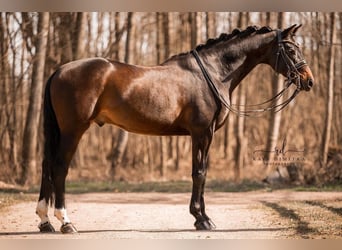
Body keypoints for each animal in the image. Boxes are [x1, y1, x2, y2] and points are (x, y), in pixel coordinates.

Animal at [36, 24, 312, 233]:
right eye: (290, 49)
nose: (308, 81)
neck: (212, 73)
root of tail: (59, 71)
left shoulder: (204, 135)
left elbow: (202, 172)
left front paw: (202, 217)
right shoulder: (202, 133)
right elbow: (199, 173)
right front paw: (201, 219)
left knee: (47, 166)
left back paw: (45, 221)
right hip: (73, 131)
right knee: (59, 168)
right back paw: (66, 222)